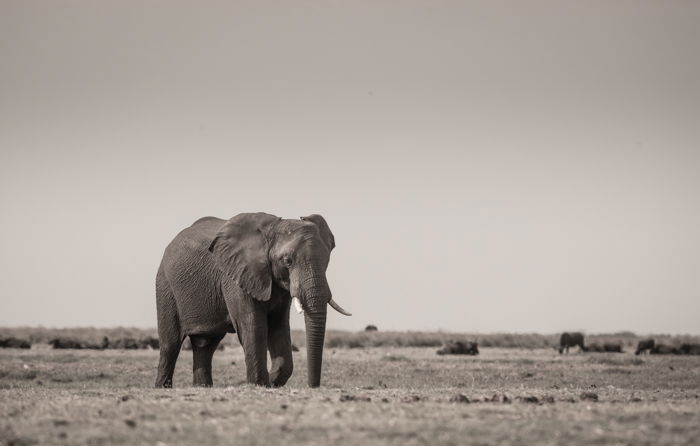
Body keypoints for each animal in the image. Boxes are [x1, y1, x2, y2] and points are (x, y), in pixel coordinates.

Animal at [154, 211, 348, 388]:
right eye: (288, 261)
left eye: (327, 261)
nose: (312, 386)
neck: (271, 230)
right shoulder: (235, 276)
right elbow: (253, 325)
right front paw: (260, 384)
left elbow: (279, 326)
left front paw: (271, 381)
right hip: (165, 286)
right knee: (170, 344)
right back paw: (163, 387)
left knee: (206, 345)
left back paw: (202, 388)